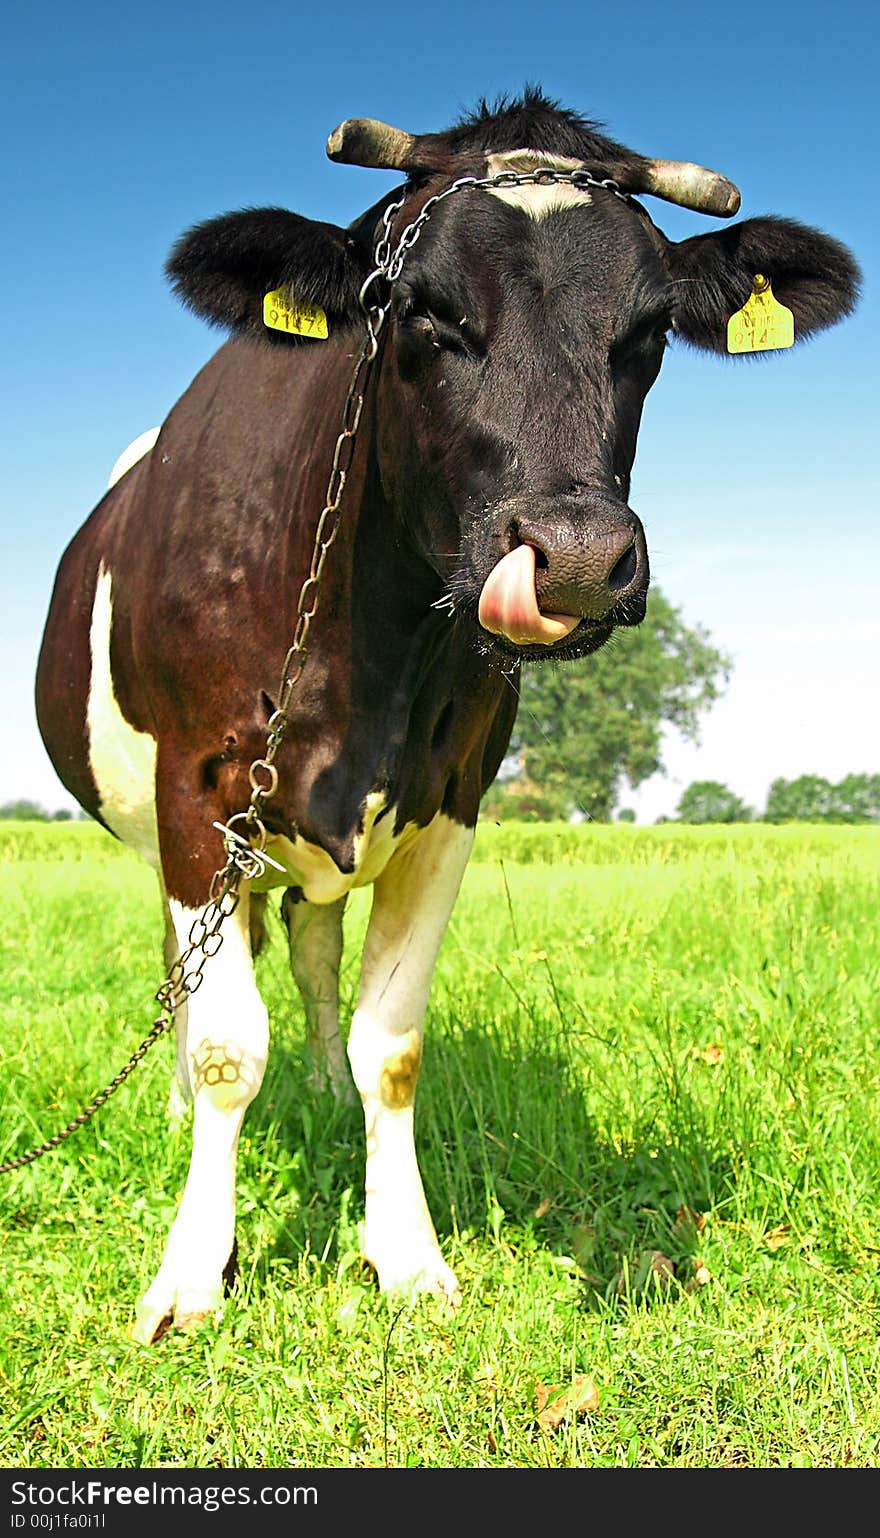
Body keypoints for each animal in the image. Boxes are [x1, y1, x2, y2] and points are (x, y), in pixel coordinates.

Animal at [34, 89, 861, 1341]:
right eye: (416, 307)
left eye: (650, 329)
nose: (576, 557)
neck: (362, 647)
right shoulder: (194, 791)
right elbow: (225, 1043)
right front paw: (193, 1272)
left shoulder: (455, 794)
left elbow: (393, 1042)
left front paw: (405, 1251)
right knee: (186, 975)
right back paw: (176, 1104)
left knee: (313, 946)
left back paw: (321, 1087)